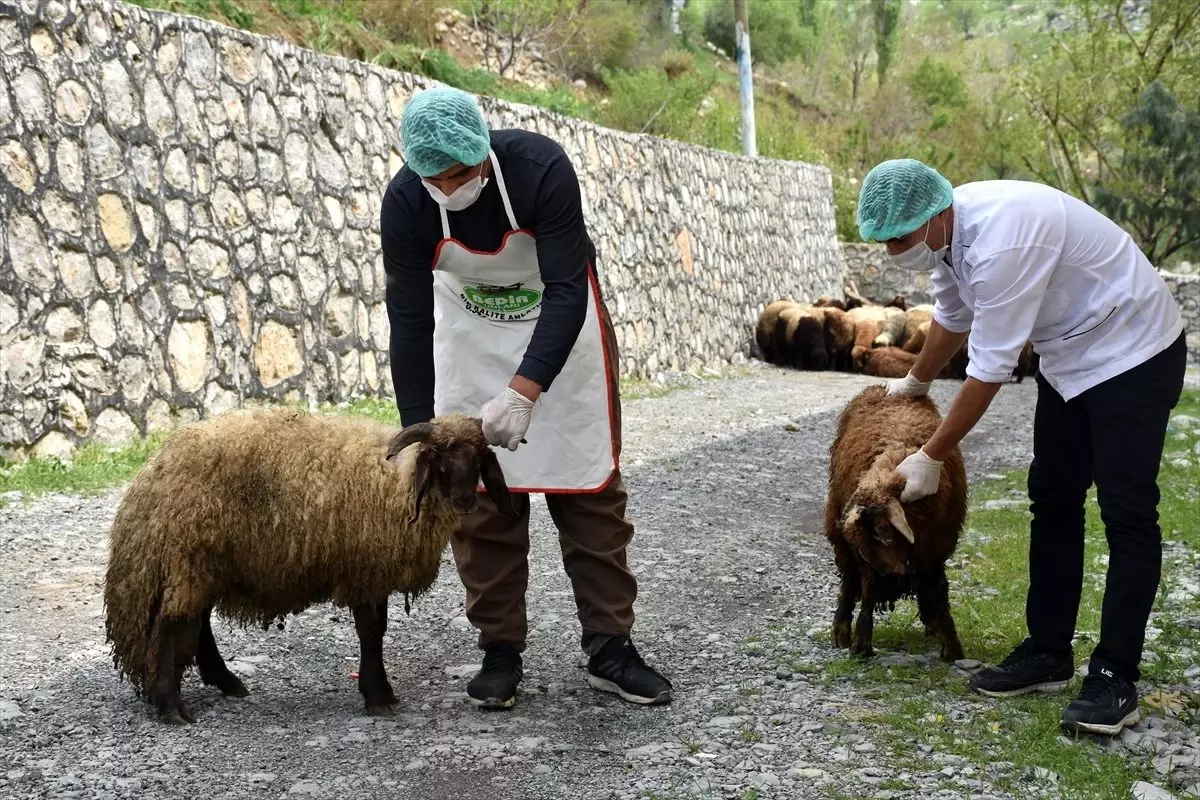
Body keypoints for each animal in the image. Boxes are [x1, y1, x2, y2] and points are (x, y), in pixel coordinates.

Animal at [103, 410, 511, 724]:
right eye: (440, 457)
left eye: (480, 457)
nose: (465, 502)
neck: (396, 483)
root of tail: (151, 474)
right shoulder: (363, 569)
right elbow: (371, 632)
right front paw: (377, 696)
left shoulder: (371, 572)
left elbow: (376, 631)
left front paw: (382, 691)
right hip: (185, 556)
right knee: (172, 627)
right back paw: (171, 706)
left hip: (203, 563)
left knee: (197, 622)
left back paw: (226, 682)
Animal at [820, 383, 969, 662]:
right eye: (867, 540)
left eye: (883, 531)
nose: (892, 578)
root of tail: (878, 387)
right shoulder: (867, 560)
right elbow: (867, 591)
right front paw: (862, 644)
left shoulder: (936, 549)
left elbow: (939, 591)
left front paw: (952, 648)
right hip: (837, 532)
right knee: (849, 582)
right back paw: (841, 631)